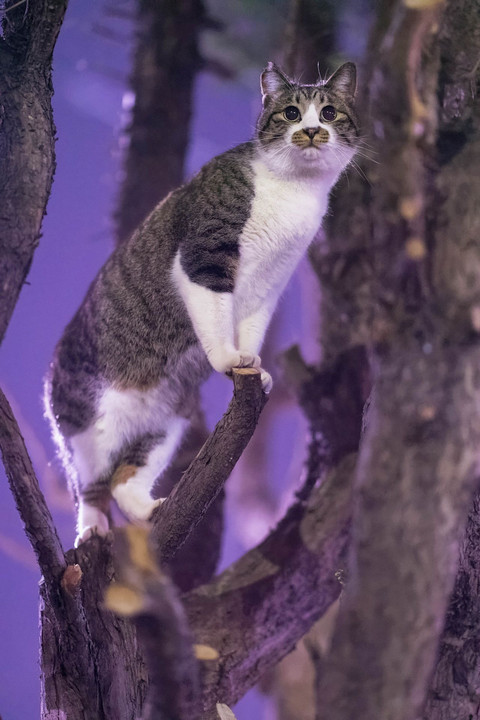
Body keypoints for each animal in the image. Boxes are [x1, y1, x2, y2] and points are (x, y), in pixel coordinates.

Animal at [45, 63, 360, 544]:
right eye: (290, 112)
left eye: (328, 112)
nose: (310, 131)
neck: (294, 192)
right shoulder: (203, 257)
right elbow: (215, 315)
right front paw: (230, 359)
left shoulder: (271, 284)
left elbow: (252, 328)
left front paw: (256, 367)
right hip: (86, 426)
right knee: (92, 485)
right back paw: (93, 528)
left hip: (167, 423)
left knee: (123, 480)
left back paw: (148, 509)